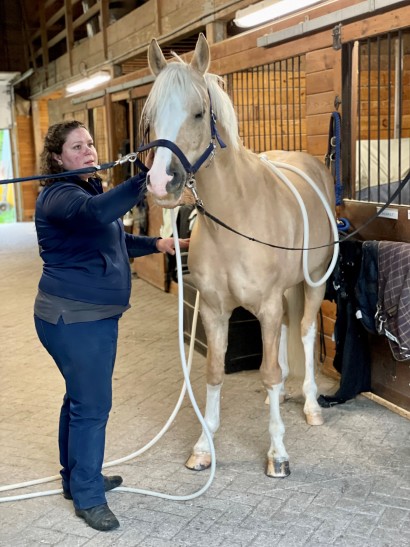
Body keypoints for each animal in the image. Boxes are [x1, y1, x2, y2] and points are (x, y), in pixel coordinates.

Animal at [144, 35, 336, 480]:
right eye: (151, 116)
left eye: (199, 113)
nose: (161, 183)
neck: (236, 216)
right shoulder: (215, 310)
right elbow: (215, 372)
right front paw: (203, 446)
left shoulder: (266, 305)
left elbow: (269, 370)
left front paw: (278, 453)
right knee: (286, 337)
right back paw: (277, 399)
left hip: (315, 281)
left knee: (304, 332)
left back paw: (311, 405)